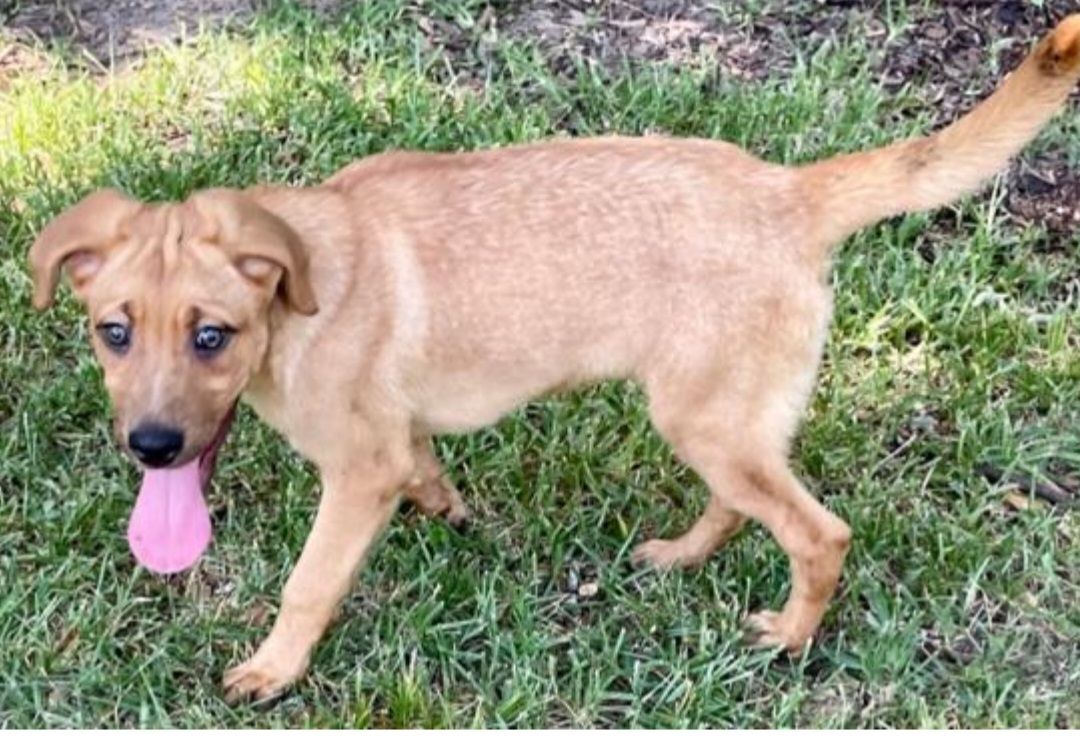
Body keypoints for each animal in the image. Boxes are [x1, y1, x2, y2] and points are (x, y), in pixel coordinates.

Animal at [23, 15, 1080, 700]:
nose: (151, 447)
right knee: (744, 504)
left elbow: (310, 580)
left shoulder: (355, 472)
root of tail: (791, 192)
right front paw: (447, 507)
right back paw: (682, 557)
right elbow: (425, 469)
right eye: (113, 331)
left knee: (818, 534)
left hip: (706, 418)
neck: (300, 295)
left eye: (212, 335)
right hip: (718, 417)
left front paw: (275, 672)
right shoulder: (391, 442)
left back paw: (788, 637)